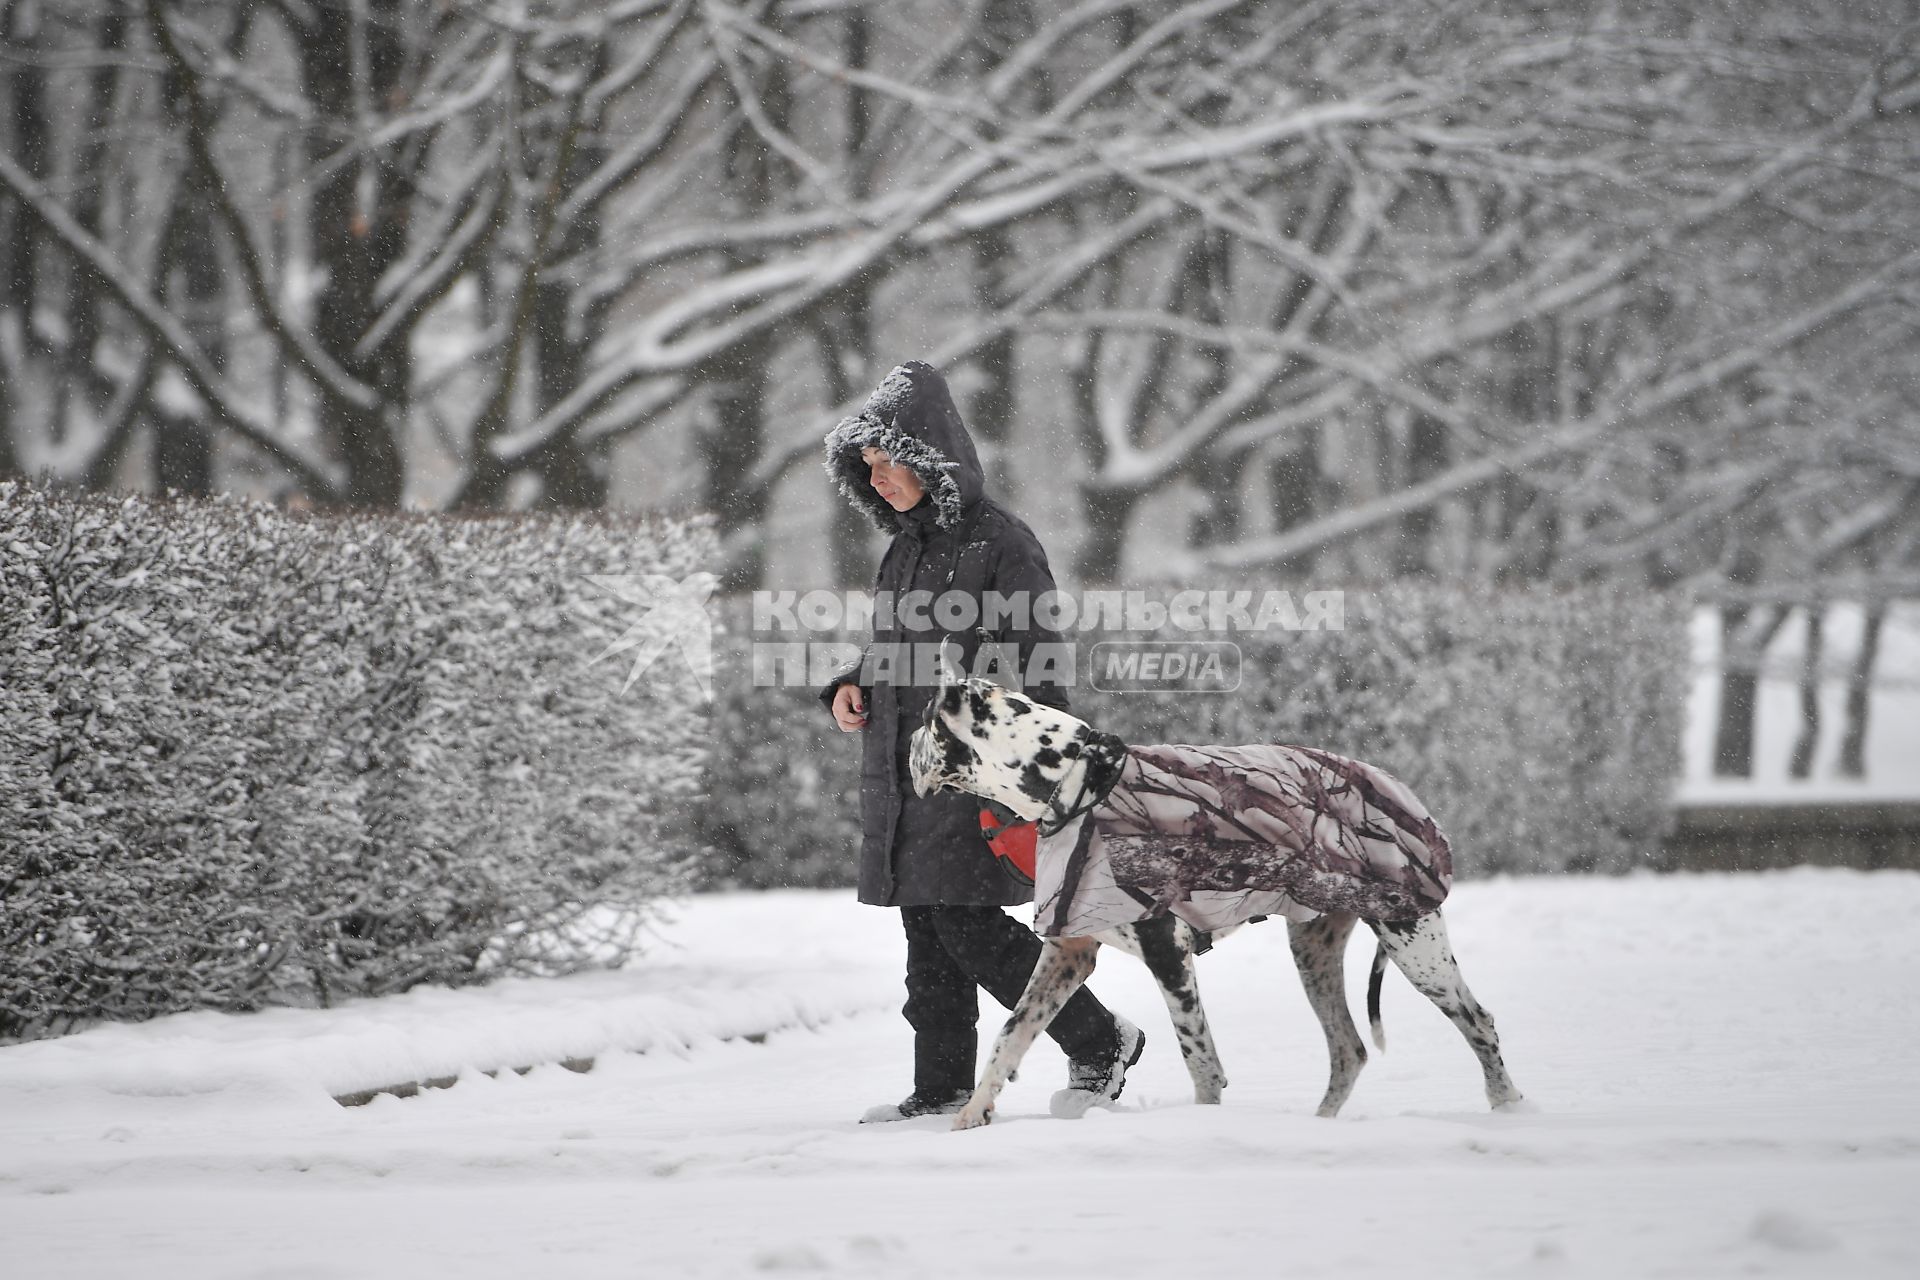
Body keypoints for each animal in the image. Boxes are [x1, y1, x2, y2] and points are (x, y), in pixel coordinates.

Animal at [906, 660, 1520, 1128]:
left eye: (925, 722)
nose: (905, 745)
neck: (1077, 782)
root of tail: (1405, 792)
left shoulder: (1168, 953)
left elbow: (1199, 1058)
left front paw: (1199, 1124)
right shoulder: (1068, 953)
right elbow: (1012, 1034)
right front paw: (972, 1117)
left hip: (1415, 945)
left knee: (1480, 1023)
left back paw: (1509, 1108)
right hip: (1314, 953)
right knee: (1350, 1051)